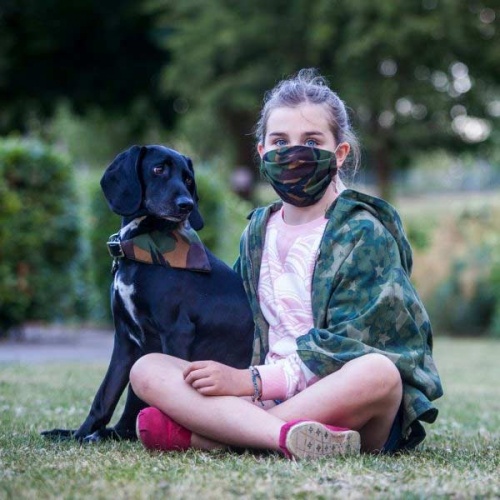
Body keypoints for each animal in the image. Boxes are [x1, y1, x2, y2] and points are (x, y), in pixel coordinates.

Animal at [42, 145, 254, 442]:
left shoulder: (176, 331)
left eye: (188, 179)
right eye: (158, 169)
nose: (187, 205)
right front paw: (80, 435)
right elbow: (104, 395)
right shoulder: (124, 339)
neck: (143, 246)